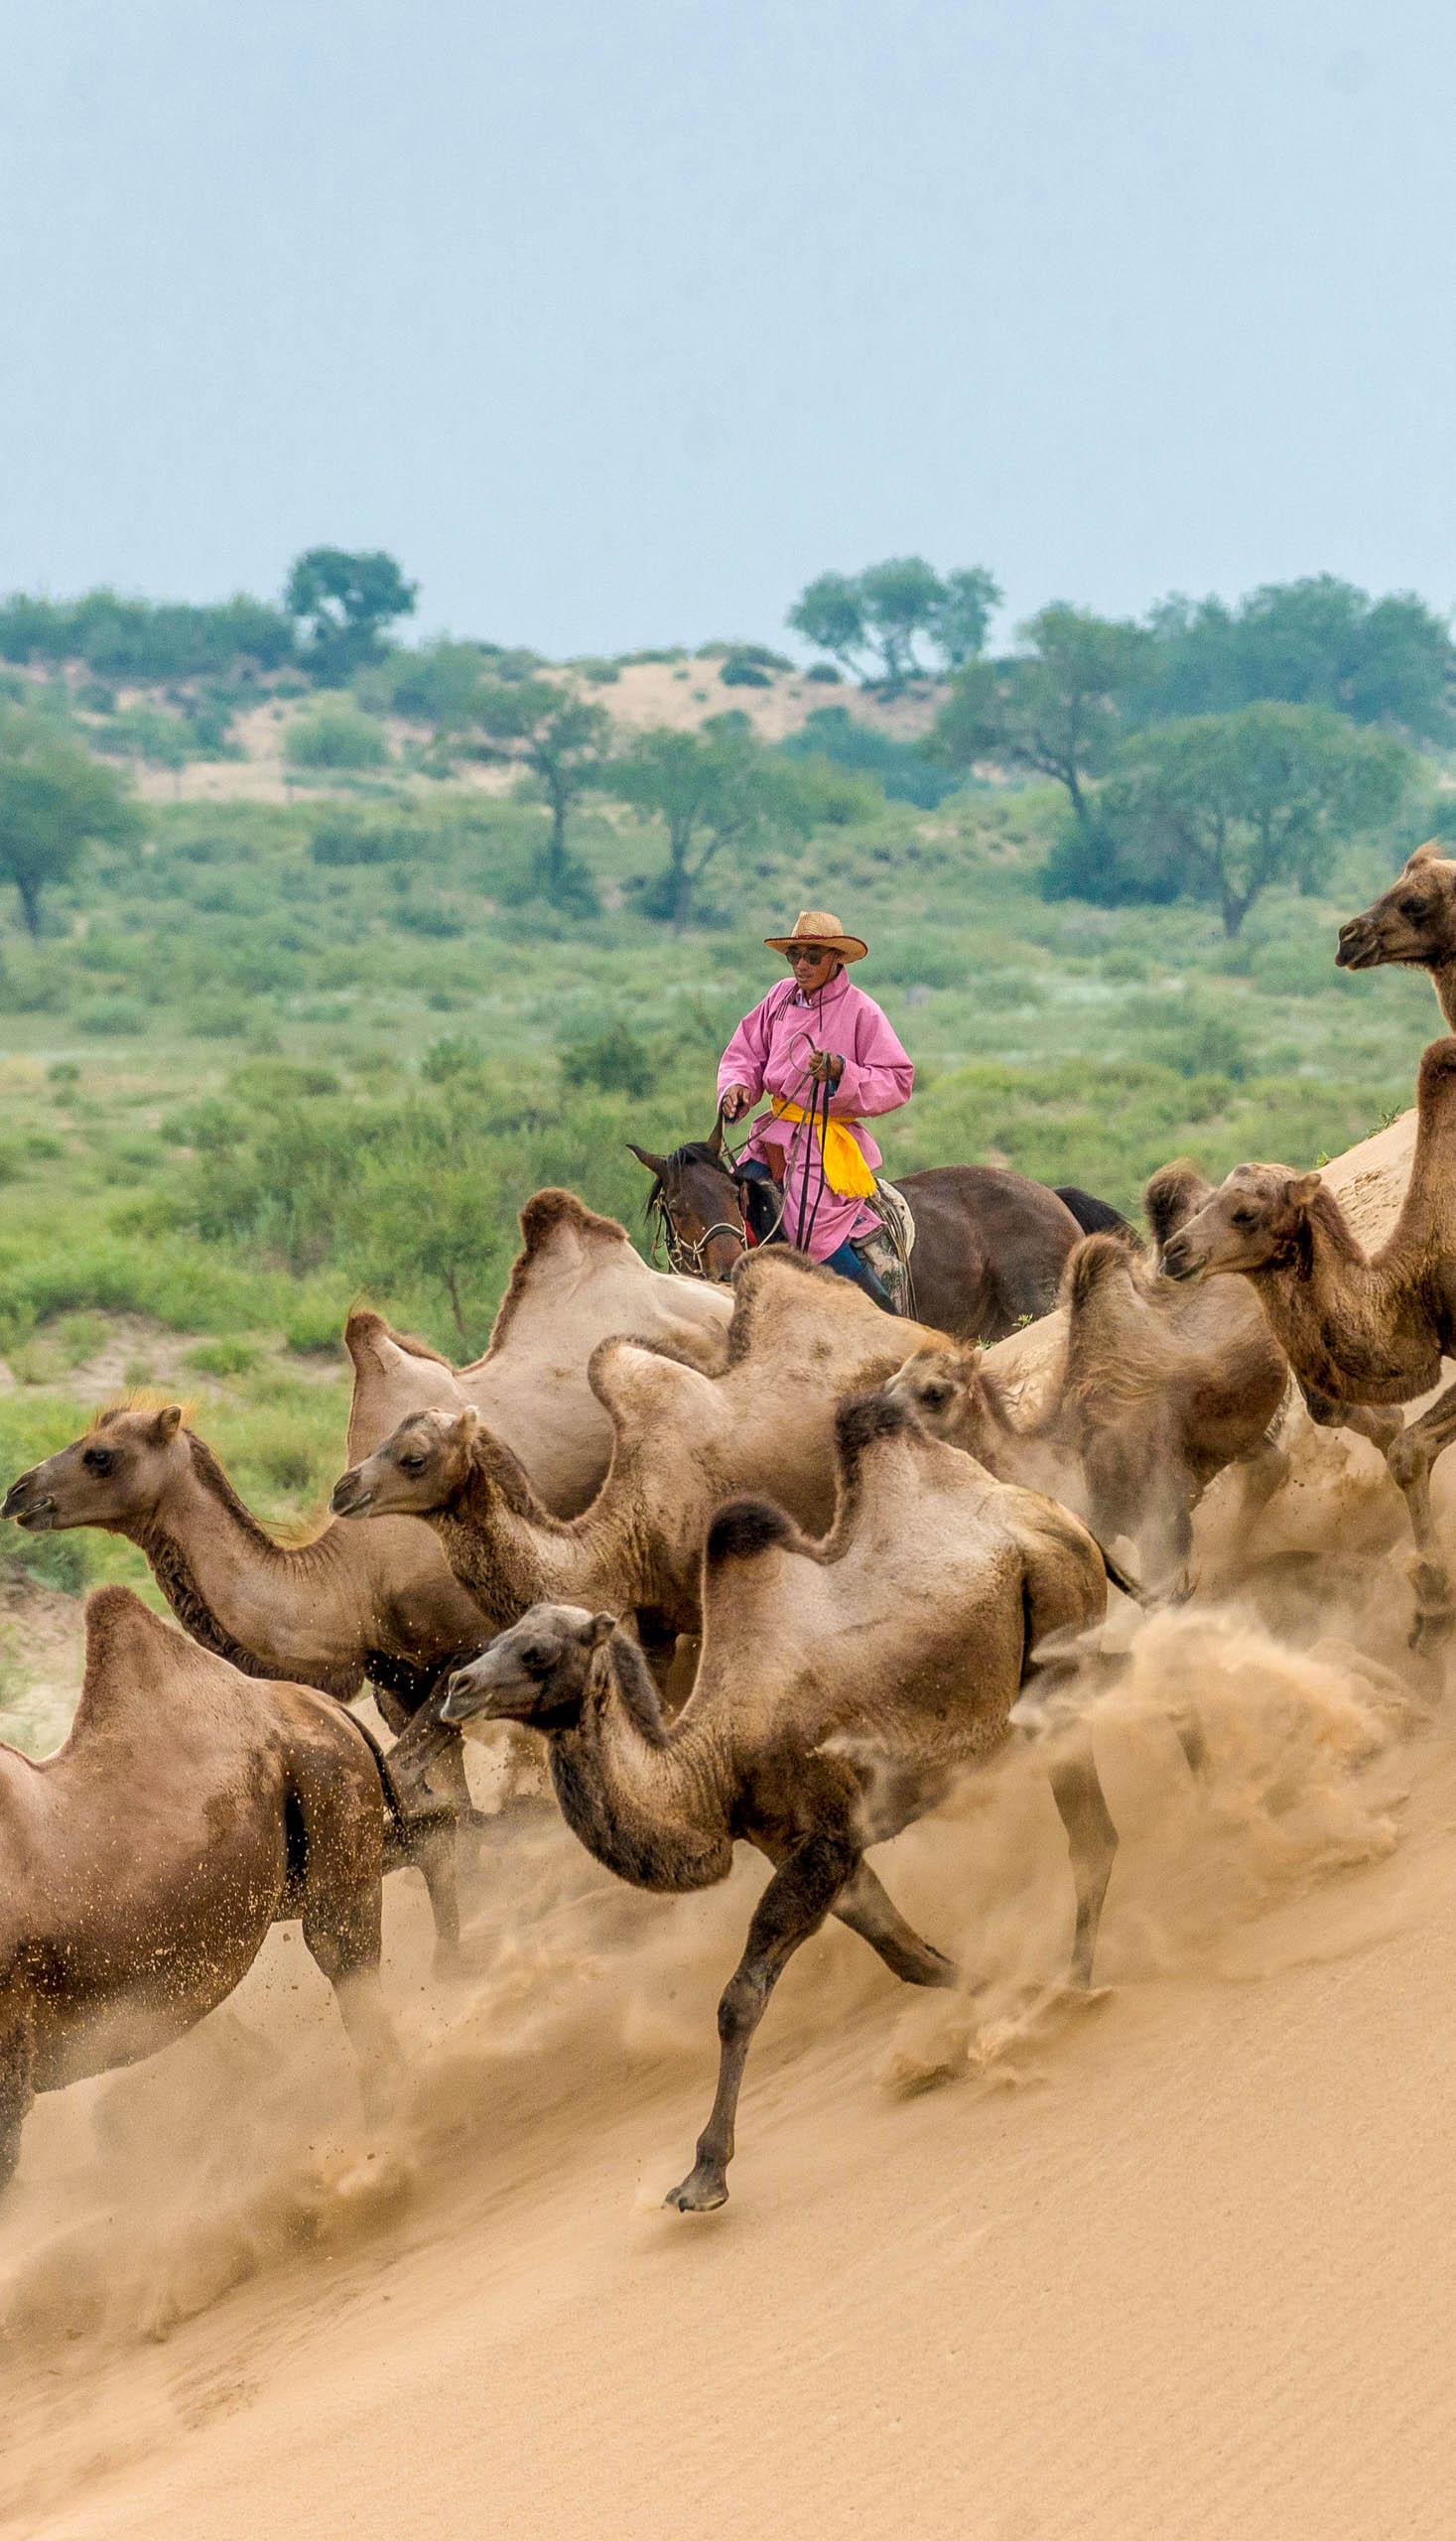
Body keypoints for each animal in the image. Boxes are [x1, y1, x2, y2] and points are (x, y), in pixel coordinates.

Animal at [330, 1250, 948, 1655]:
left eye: (413, 1457)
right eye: (383, 1438)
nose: (342, 1490)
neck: (623, 1540)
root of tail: (925, 1332)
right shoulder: (650, 1623)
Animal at [426, 1388, 1122, 2212]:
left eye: (537, 1652)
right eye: (497, 1637)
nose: (458, 1688)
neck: (711, 1759)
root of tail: (1052, 1511)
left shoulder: (822, 1839)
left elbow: (740, 1997)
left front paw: (703, 2175)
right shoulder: (808, 1847)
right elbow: (907, 1954)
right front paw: (992, 1994)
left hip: (1054, 1620)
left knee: (1093, 1829)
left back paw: (1076, 1984)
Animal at [1160, 1036, 1456, 1642]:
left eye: (1245, 1213)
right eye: (1203, 1203)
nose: (1175, 1253)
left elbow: (1408, 1450)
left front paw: (1435, 1602)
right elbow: (1400, 1444)